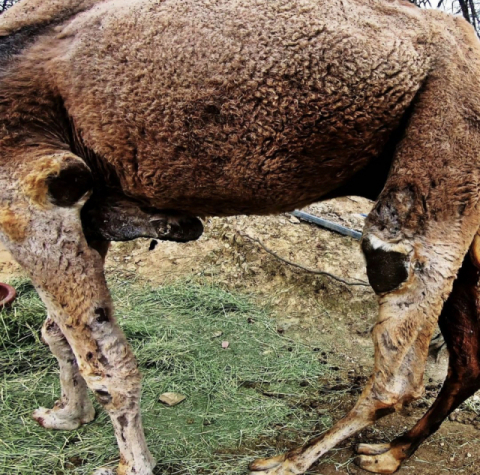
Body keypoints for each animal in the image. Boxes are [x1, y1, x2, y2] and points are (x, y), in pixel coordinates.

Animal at [0, 0, 480, 474]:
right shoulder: (87, 204)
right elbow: (55, 332)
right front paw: (65, 415)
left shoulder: (32, 187)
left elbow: (106, 368)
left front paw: (130, 464)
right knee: (466, 360)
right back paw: (389, 453)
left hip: (445, 143)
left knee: (396, 341)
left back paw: (292, 460)